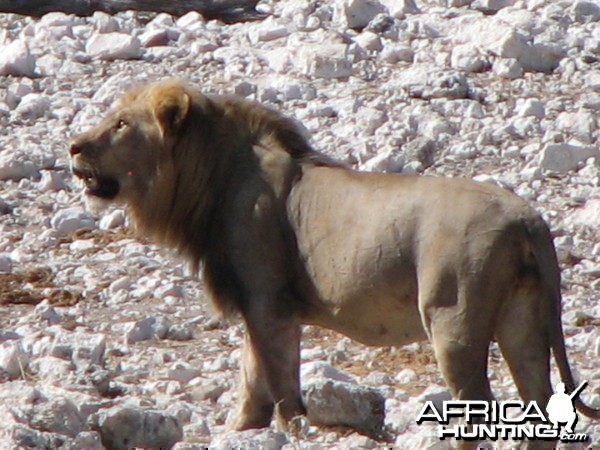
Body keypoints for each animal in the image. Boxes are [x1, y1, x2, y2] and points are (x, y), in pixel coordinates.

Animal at [69, 80, 596, 436]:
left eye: (121, 124)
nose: (73, 147)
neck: (211, 177)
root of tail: (529, 219)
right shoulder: (259, 304)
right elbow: (251, 377)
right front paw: (241, 429)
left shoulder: (267, 302)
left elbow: (279, 379)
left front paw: (289, 429)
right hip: (523, 318)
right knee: (538, 401)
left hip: (455, 322)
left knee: (477, 404)